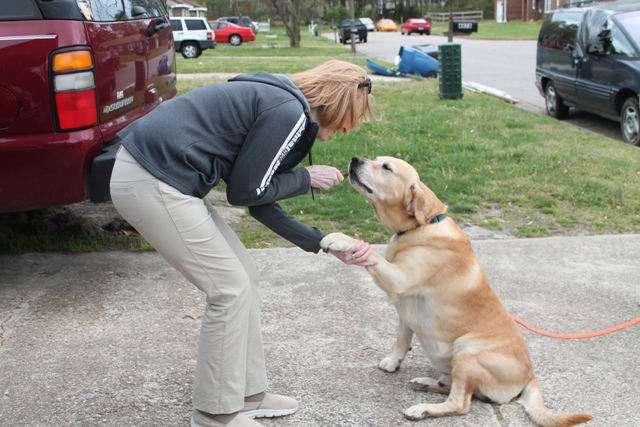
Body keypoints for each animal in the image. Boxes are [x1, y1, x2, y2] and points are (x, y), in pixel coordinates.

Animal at [322, 157, 592, 427]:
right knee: (461, 392)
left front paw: (338, 238)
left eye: (386, 167)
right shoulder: (405, 314)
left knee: (461, 403)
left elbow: (370, 252)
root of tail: (530, 376)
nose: (355, 159)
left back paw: (423, 408)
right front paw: (393, 362)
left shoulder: (399, 280)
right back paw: (429, 383)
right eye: (376, 160)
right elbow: (401, 341)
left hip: (466, 350)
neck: (421, 226)